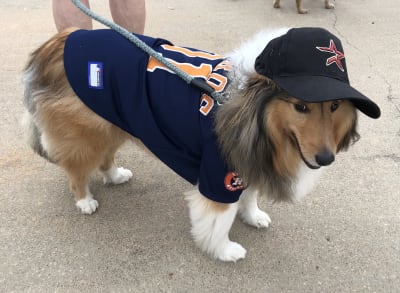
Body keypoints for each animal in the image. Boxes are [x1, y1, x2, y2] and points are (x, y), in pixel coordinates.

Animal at [23, 26, 380, 260]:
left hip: (113, 120)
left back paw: (115, 175)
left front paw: (253, 216)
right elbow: (219, 221)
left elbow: (250, 195)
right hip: (88, 134)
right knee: (77, 170)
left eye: (335, 106)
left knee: (105, 158)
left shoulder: (246, 159)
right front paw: (224, 250)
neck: (249, 108)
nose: (325, 158)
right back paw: (84, 200)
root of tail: (59, 42)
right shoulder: (219, 174)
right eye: (300, 107)